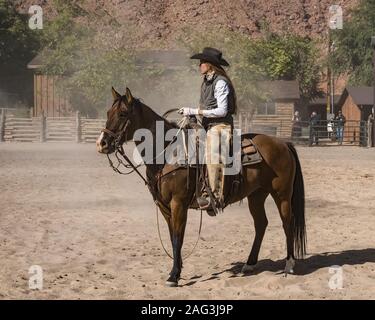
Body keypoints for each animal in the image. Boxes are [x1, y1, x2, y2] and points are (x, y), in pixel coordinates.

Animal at [97, 87, 308, 288]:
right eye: (108, 112)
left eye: (123, 113)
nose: (102, 143)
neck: (168, 153)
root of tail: (283, 143)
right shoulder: (164, 205)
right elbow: (172, 236)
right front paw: (178, 270)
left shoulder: (178, 204)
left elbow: (178, 237)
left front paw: (174, 276)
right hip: (256, 195)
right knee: (261, 224)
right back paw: (249, 264)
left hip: (282, 194)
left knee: (287, 222)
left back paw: (289, 265)